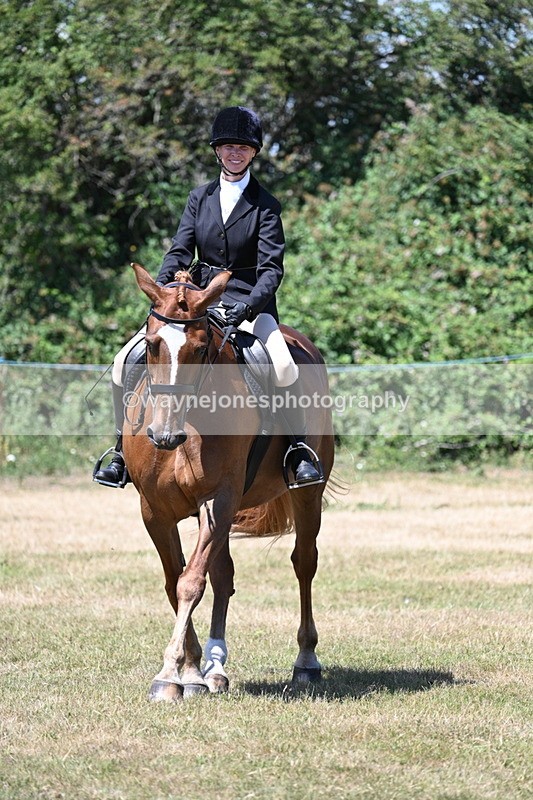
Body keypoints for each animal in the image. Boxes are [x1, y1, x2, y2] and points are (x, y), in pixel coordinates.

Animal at [123, 262, 334, 701]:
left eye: (202, 348)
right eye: (151, 345)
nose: (164, 436)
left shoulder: (218, 500)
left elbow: (190, 583)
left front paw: (169, 674)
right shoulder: (155, 511)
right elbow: (175, 582)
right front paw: (190, 672)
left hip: (307, 495)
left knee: (304, 564)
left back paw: (306, 662)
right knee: (224, 576)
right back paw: (214, 669)